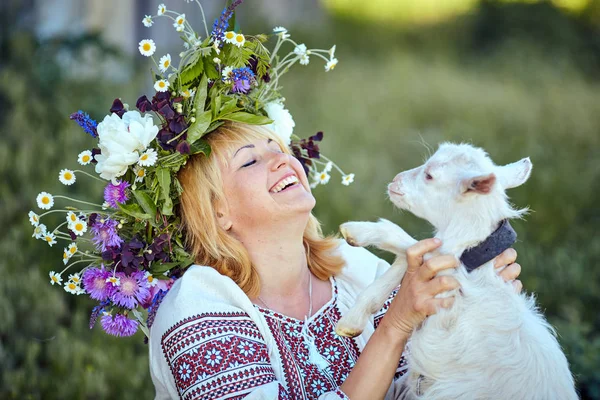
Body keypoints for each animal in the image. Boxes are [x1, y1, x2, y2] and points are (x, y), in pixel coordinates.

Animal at [338, 143, 576, 400]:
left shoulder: (447, 288)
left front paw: (357, 230)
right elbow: (411, 256)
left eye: (430, 175)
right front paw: (352, 319)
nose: (395, 181)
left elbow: (415, 248)